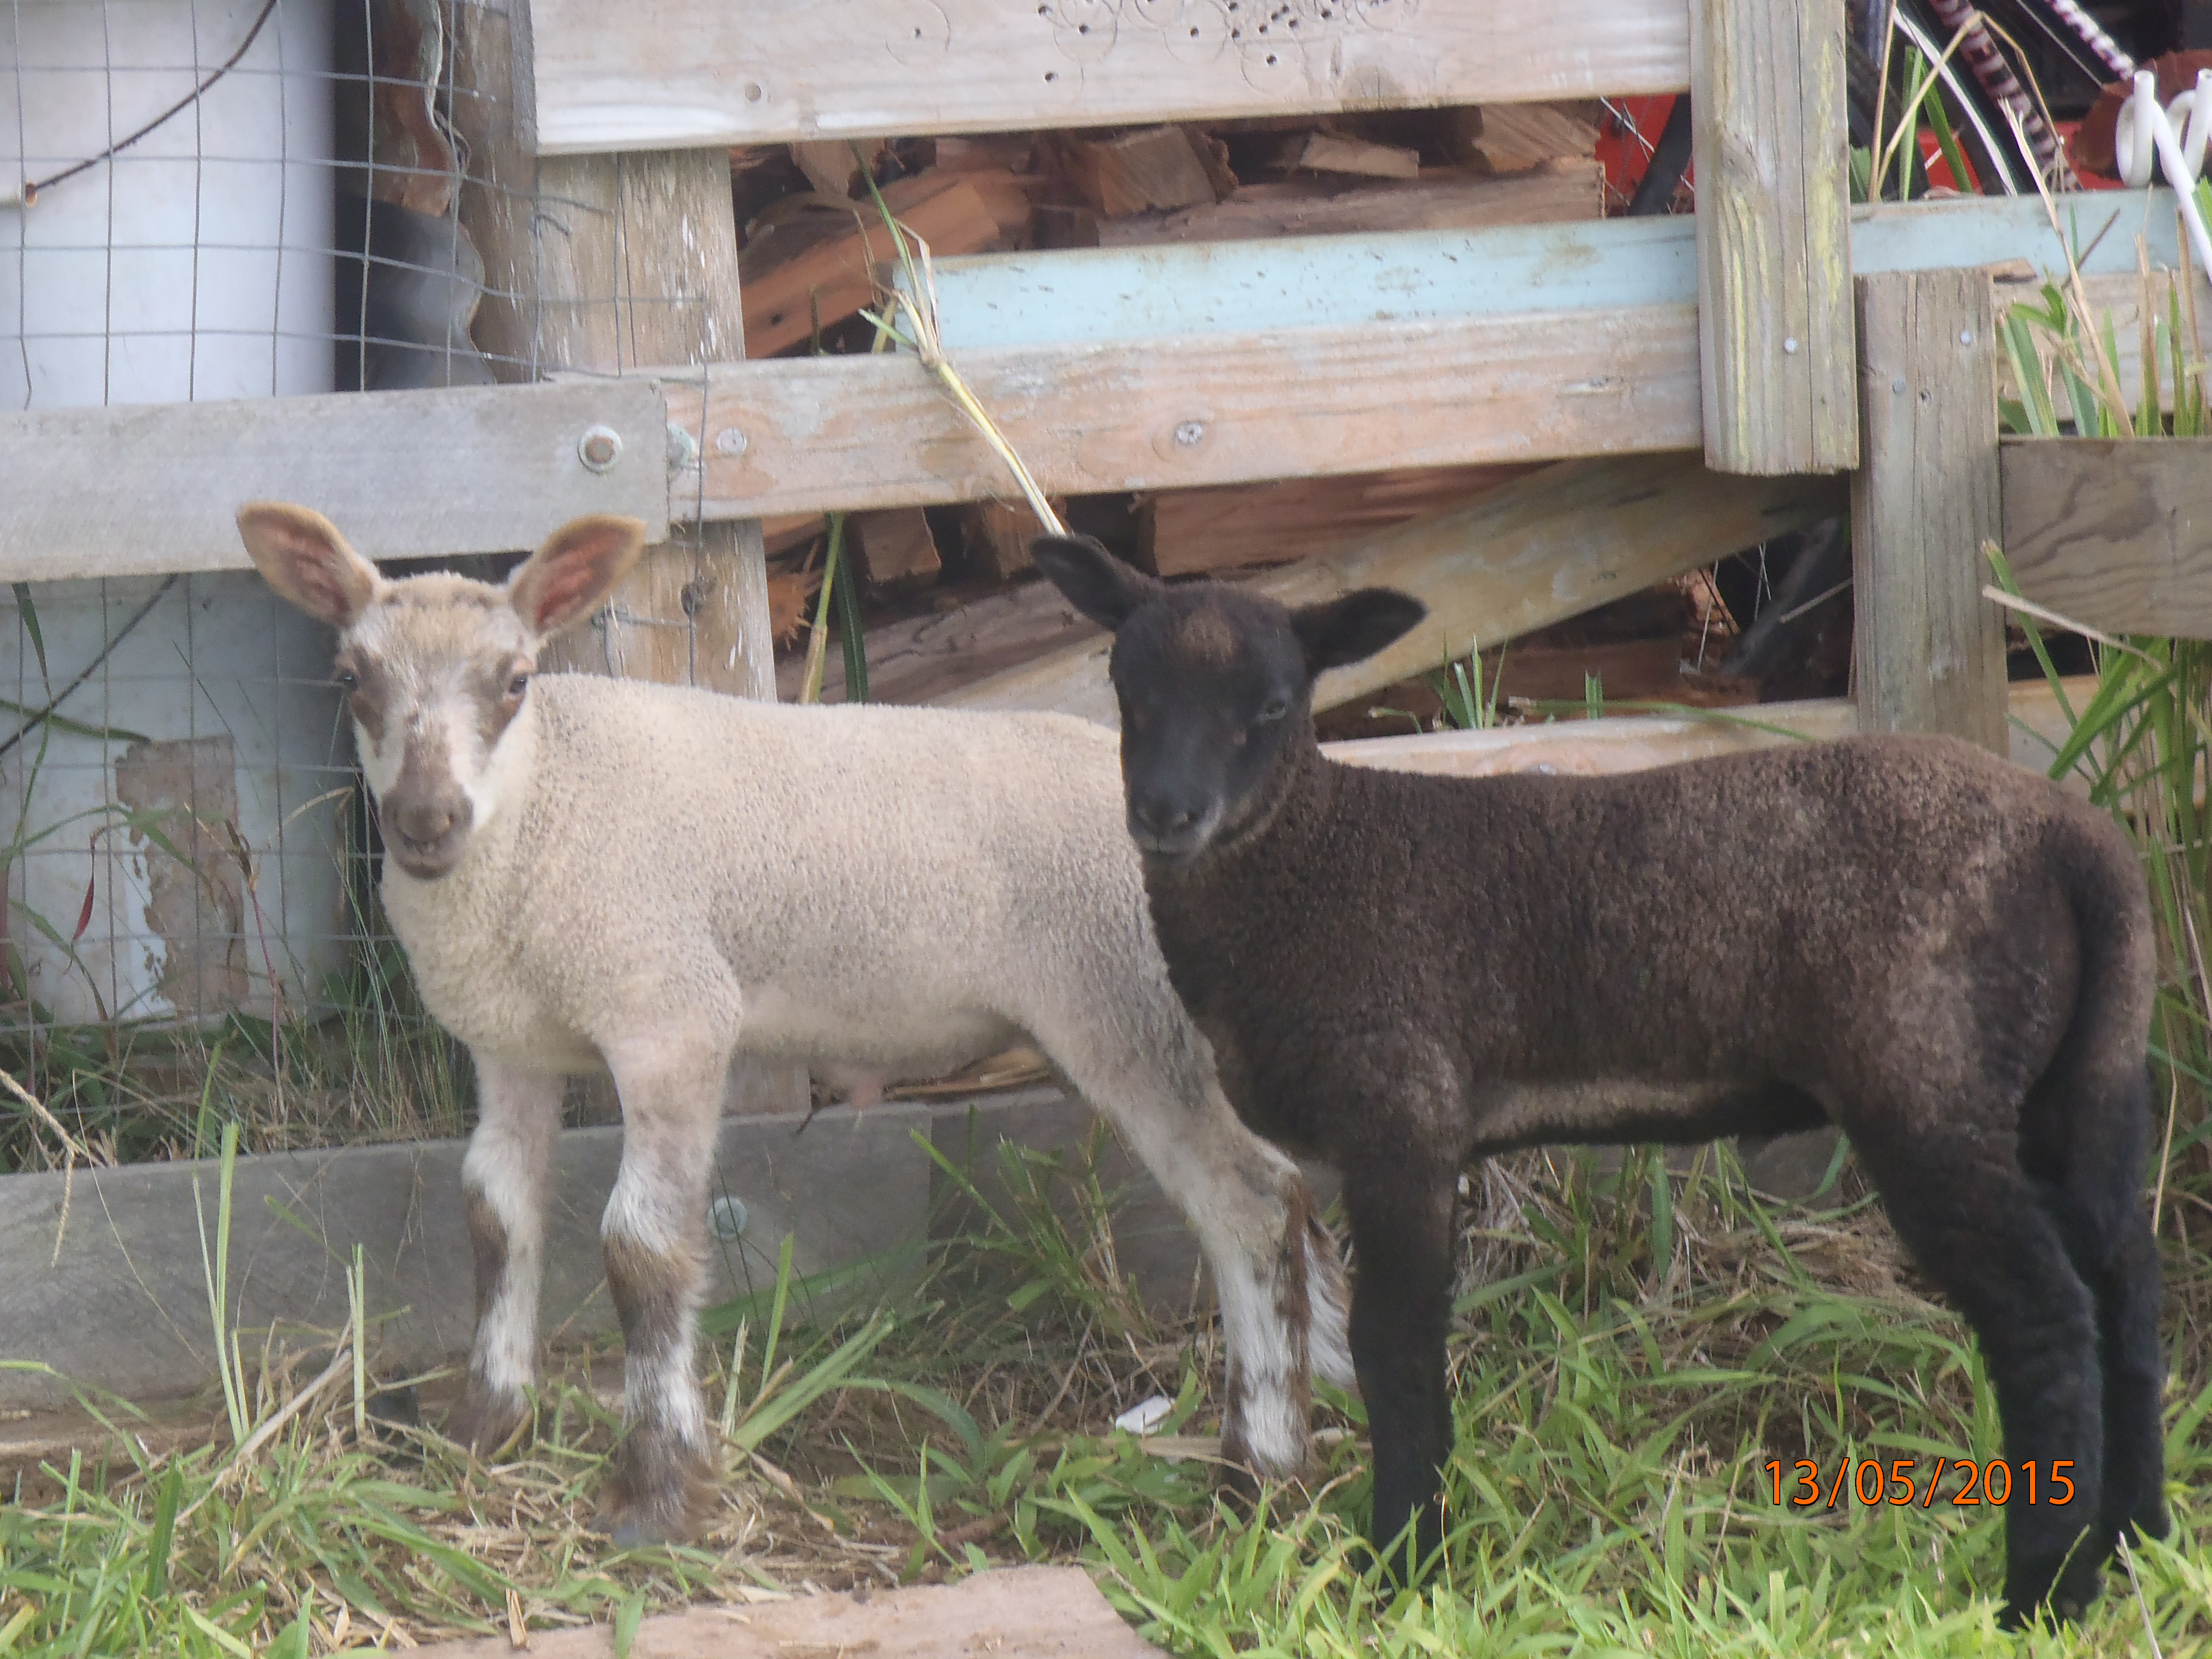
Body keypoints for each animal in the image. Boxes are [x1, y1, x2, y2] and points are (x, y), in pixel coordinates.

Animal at [237, 504, 1345, 1548]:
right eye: (350, 678)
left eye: (514, 681)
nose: (425, 821)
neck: (543, 802)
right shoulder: (510, 1043)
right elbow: (494, 1214)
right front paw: (483, 1424)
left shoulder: (674, 1014)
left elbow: (642, 1247)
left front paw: (656, 1492)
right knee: (1274, 1199)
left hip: (1133, 1010)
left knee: (1250, 1206)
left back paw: (1263, 1469)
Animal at [1031, 540, 2159, 1628]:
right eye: (1125, 687)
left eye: (1271, 705)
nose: (1164, 813)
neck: (1312, 859)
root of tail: (2077, 842)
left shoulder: (1402, 1114)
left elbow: (1394, 1347)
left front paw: (1402, 1568)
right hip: (2066, 1074)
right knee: (2119, 1276)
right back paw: (2134, 1542)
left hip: (1927, 1077)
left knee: (2045, 1313)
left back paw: (2041, 1596)